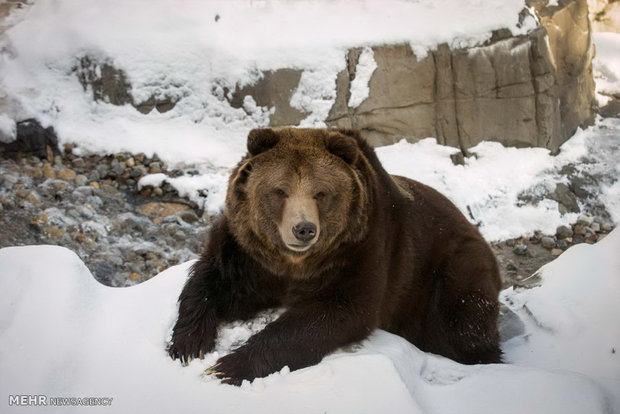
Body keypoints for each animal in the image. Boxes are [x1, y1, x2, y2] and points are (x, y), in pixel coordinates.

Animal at [168, 127, 504, 384]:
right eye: (280, 191)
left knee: (463, 322)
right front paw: (189, 345)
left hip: (451, 267)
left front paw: (227, 366)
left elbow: (335, 313)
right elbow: (212, 281)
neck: (294, 264)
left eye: (320, 193)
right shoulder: (250, 253)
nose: (304, 229)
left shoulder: (361, 249)